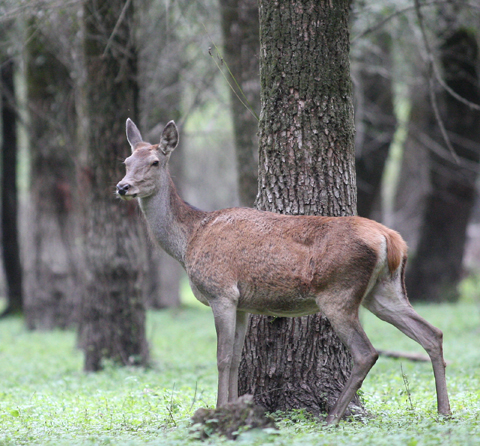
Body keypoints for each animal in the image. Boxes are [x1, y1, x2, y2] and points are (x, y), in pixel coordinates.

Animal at [115, 119, 450, 426]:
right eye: (127, 162)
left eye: (155, 162)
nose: (122, 187)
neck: (189, 241)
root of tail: (391, 240)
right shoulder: (242, 303)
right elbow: (236, 359)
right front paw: (232, 408)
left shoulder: (220, 291)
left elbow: (222, 358)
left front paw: (217, 412)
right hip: (385, 290)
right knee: (431, 333)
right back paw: (444, 410)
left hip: (339, 292)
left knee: (367, 352)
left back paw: (333, 416)